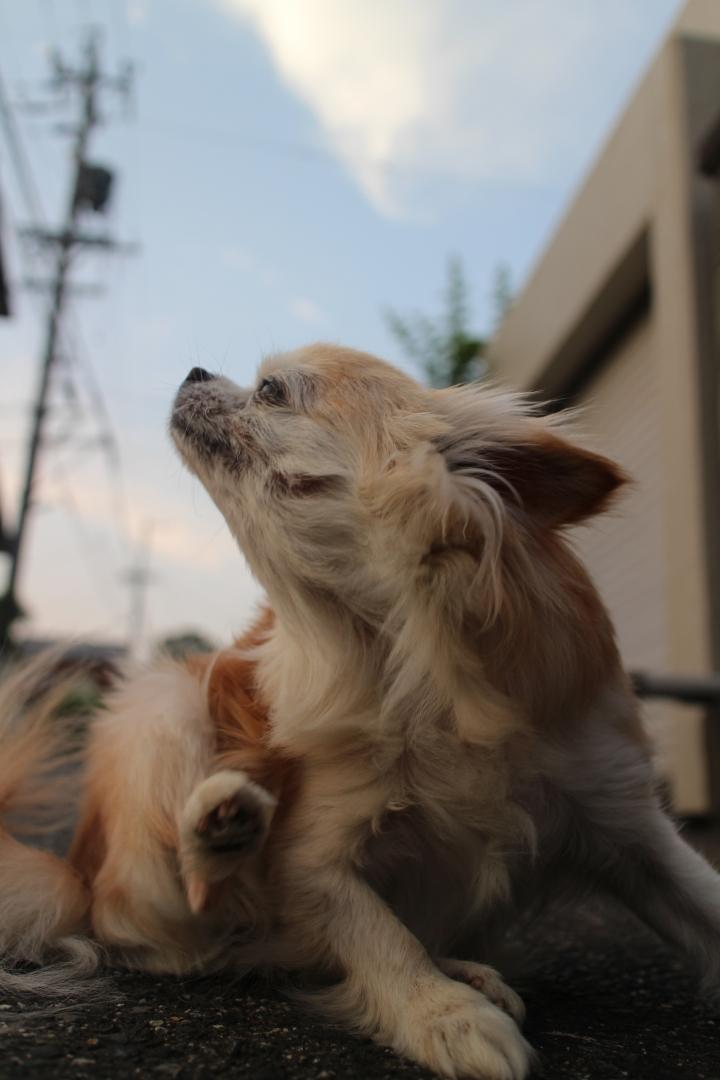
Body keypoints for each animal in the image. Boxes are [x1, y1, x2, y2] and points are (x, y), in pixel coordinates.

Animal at [1, 347, 720, 1080]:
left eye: (270, 390)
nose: (196, 370)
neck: (406, 662)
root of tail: (76, 874)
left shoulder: (620, 813)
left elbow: (704, 897)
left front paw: (451, 997)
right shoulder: (310, 861)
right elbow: (377, 935)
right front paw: (446, 1016)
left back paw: (464, 966)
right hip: (162, 713)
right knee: (166, 928)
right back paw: (223, 824)